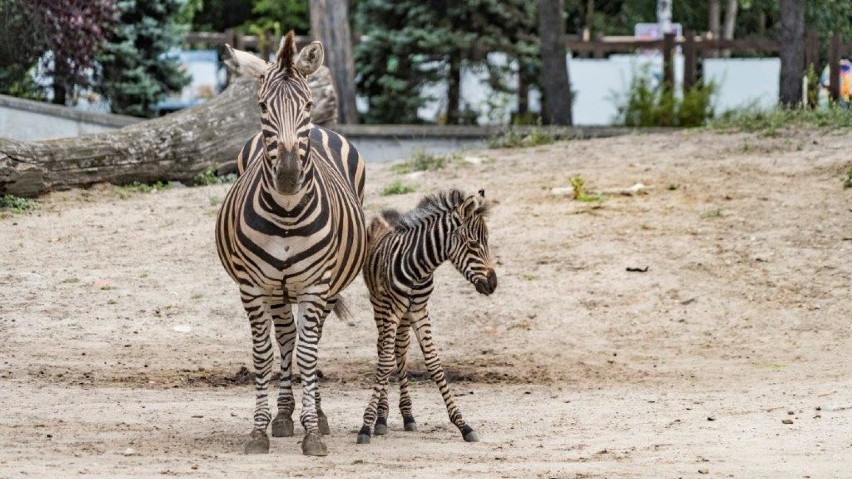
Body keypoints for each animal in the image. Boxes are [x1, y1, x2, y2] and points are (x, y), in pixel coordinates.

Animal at [213, 31, 366, 456]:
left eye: (309, 105)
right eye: (262, 106)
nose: (287, 176)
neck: (285, 215)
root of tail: (324, 130)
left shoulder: (316, 286)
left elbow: (309, 354)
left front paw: (313, 432)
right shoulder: (252, 288)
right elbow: (264, 355)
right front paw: (259, 431)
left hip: (325, 286)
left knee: (306, 342)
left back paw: (316, 416)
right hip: (277, 290)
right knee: (285, 339)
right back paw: (283, 416)